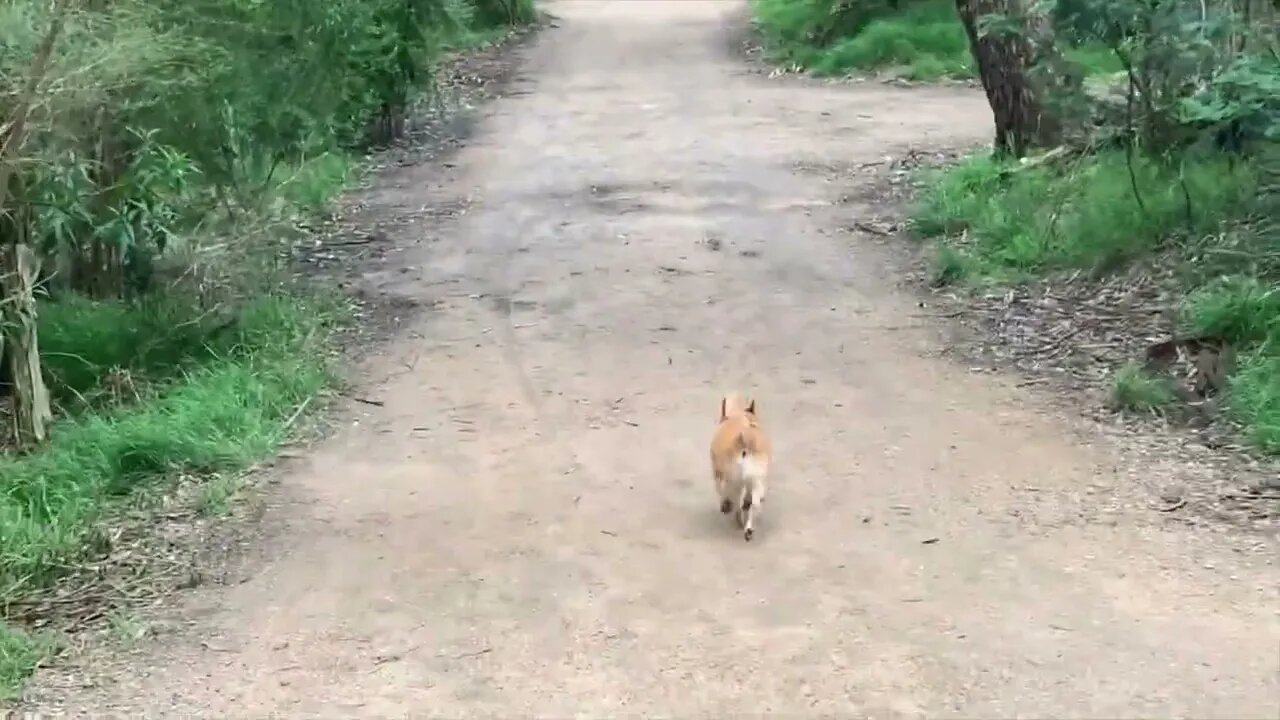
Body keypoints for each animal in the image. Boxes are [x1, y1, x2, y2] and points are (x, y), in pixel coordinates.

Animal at [711, 392, 768, 538]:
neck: (739, 416)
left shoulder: (719, 473)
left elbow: (721, 491)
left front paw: (725, 505)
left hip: (735, 480)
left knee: (737, 501)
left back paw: (734, 515)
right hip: (756, 479)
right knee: (754, 503)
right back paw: (748, 529)